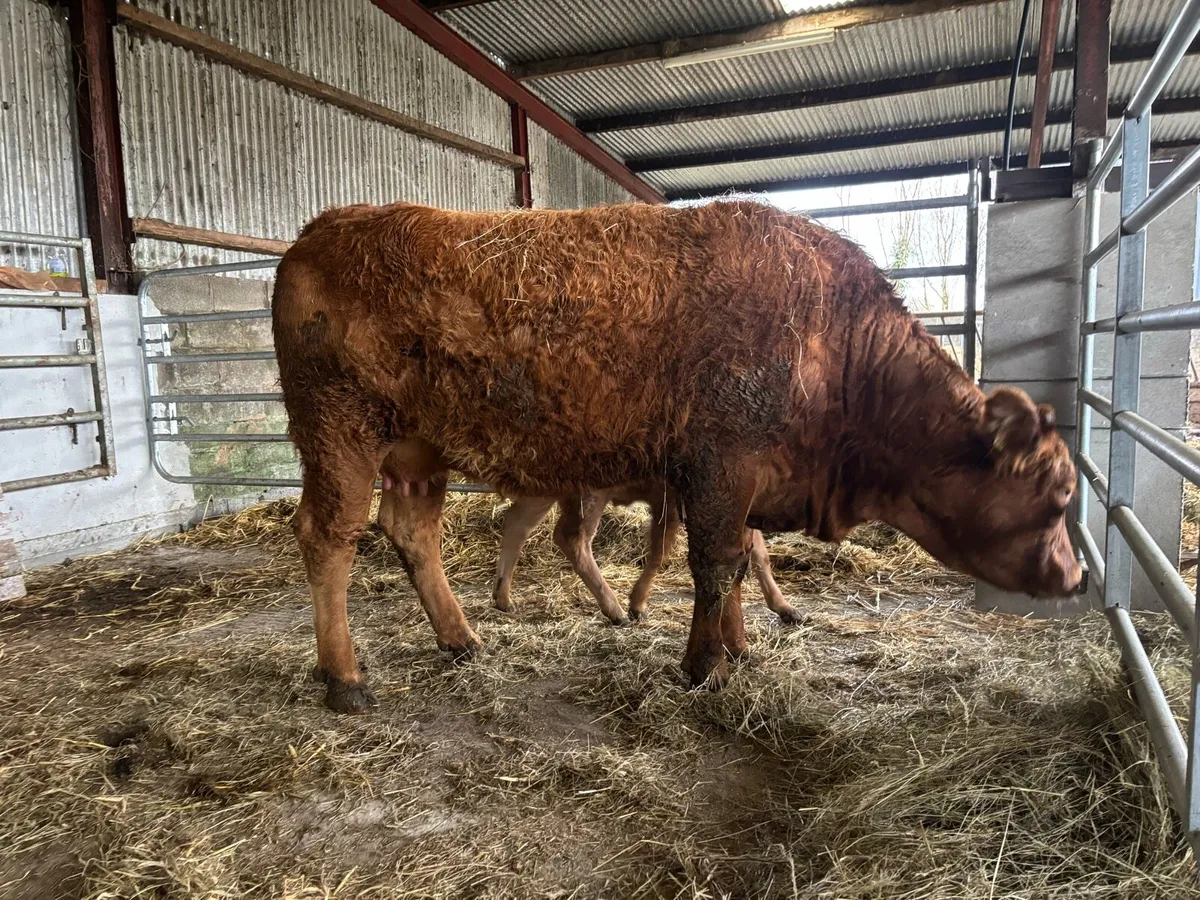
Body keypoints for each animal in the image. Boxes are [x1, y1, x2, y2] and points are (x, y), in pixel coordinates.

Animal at [491, 483, 801, 626]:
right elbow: (660, 552)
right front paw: (636, 605)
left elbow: (759, 554)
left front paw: (786, 608)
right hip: (589, 493)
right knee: (572, 538)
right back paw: (615, 610)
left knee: (518, 522)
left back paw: (503, 599)